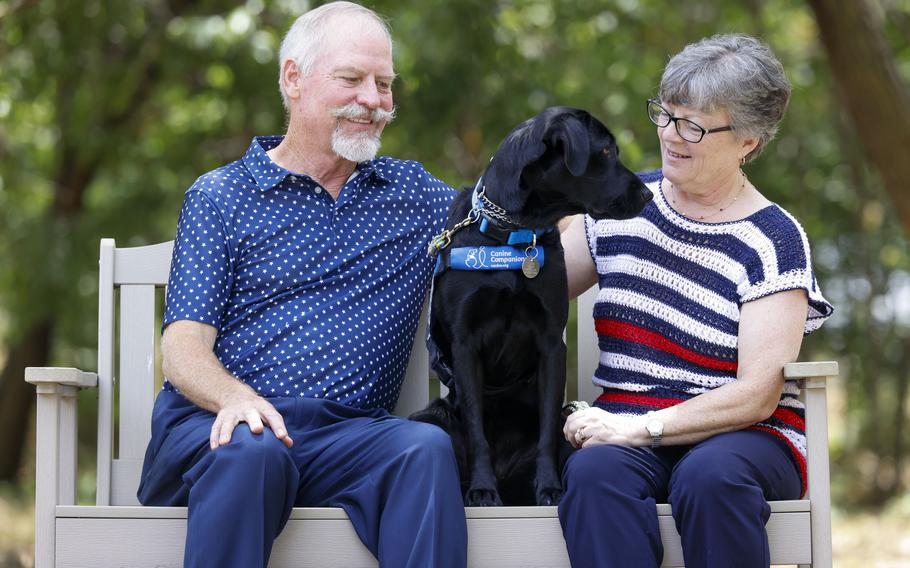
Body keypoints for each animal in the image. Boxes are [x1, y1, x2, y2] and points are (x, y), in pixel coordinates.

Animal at [410, 106, 652, 506]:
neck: (514, 233)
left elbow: (546, 432)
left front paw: (549, 488)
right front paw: (482, 489)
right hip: (428, 419)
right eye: (605, 152)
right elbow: (476, 430)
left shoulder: (551, 340)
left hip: (573, 424)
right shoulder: (464, 344)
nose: (647, 194)